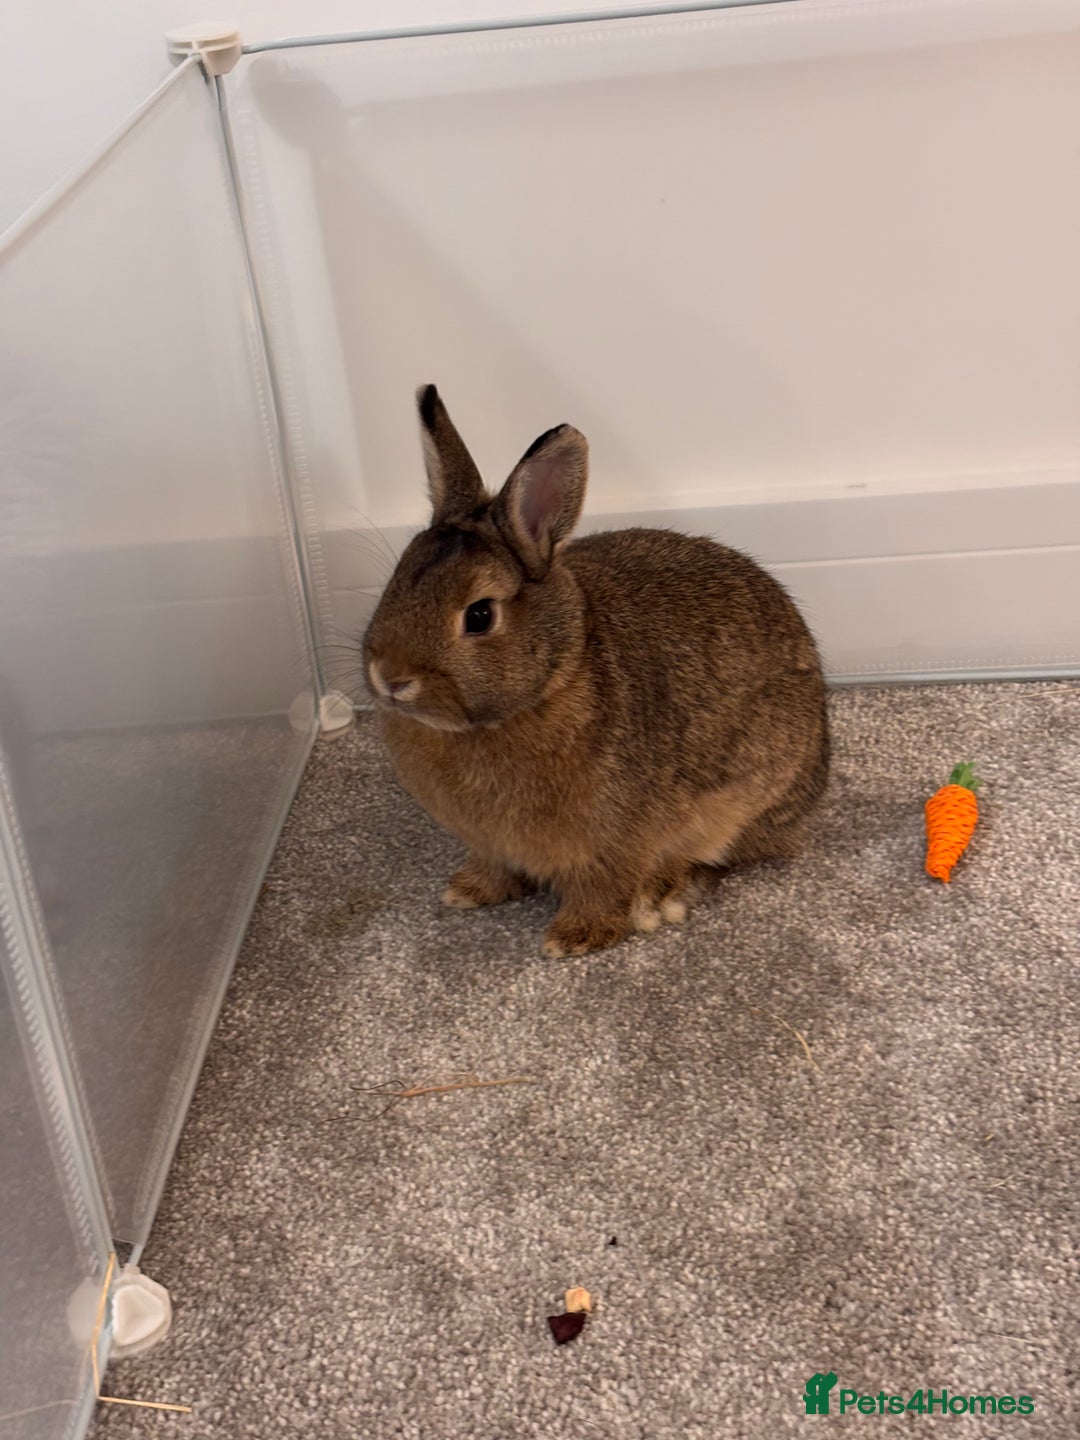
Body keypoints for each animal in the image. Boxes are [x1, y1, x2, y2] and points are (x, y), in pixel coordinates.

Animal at [362, 385, 829, 958]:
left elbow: (604, 886)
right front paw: (468, 892)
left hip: (746, 795)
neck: (549, 684)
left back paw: (659, 898)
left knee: (717, 856)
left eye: (479, 615)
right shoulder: (492, 844)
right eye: (397, 579)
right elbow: (495, 867)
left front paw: (574, 938)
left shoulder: (616, 841)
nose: (390, 678)